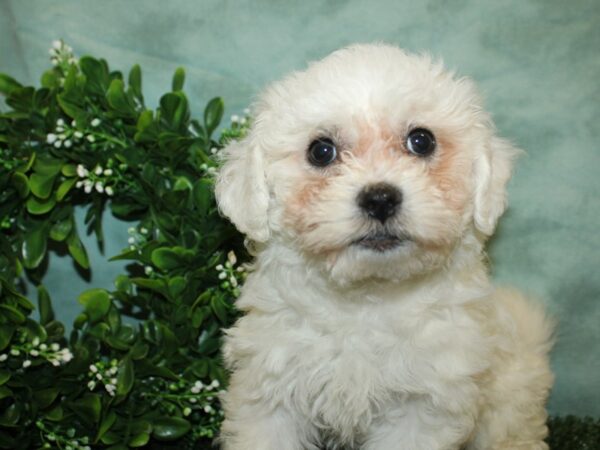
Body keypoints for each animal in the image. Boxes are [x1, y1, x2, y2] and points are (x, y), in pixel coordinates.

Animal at [214, 43, 552, 450]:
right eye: (321, 151)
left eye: (422, 141)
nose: (379, 199)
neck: (367, 299)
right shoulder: (272, 385)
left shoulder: (424, 402)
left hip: (509, 408)